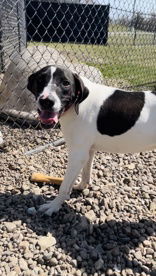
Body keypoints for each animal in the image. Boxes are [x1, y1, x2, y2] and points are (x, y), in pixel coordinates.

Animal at [26, 64, 156, 216]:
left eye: (66, 83)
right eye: (40, 79)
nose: (46, 101)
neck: (78, 104)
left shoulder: (77, 155)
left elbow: (64, 186)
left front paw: (54, 205)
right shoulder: (88, 151)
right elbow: (85, 174)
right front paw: (80, 187)